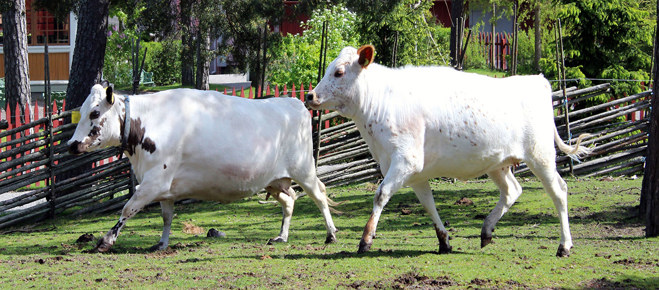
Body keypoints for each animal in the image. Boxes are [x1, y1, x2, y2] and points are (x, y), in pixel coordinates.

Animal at [67, 83, 338, 251]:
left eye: (94, 113)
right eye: (82, 111)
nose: (72, 144)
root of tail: (294, 103)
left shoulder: (154, 181)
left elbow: (128, 208)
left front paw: (106, 240)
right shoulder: (164, 188)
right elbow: (166, 217)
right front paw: (161, 244)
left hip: (304, 170)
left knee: (320, 196)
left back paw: (331, 234)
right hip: (274, 181)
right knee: (290, 200)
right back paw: (282, 236)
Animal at [306, 44, 592, 256]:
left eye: (339, 72)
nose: (310, 96)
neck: (380, 102)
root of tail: (538, 81)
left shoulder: (405, 161)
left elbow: (381, 195)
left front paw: (366, 239)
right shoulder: (413, 172)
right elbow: (428, 204)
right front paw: (443, 240)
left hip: (540, 156)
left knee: (559, 192)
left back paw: (564, 245)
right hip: (497, 163)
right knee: (513, 190)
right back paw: (486, 230)